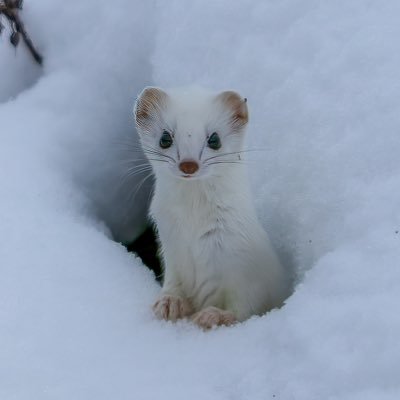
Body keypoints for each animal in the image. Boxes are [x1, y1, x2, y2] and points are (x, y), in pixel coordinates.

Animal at [134, 86, 288, 328]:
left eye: (214, 139)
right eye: (165, 137)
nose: (188, 164)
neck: (193, 224)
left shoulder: (249, 268)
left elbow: (247, 306)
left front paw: (215, 315)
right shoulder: (172, 249)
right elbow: (173, 282)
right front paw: (169, 302)